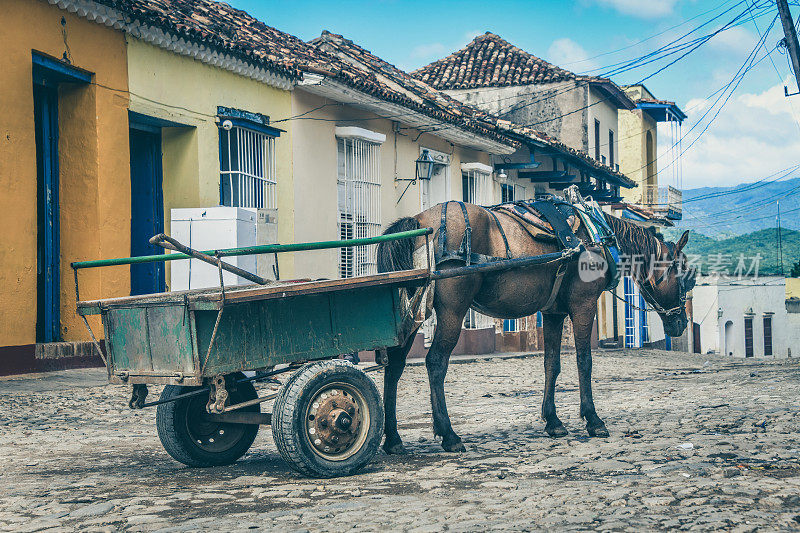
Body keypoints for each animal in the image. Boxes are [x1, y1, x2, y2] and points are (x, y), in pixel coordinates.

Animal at [376, 200, 692, 454]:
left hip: (411, 309)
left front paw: (553, 421)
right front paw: (593, 420)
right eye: (685, 274)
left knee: (395, 366)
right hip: (453, 311)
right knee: (435, 363)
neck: (596, 236)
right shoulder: (584, 304)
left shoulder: (553, 312)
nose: (681, 324)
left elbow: (552, 364)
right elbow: (584, 361)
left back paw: (393, 439)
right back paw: (449, 435)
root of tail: (421, 222)